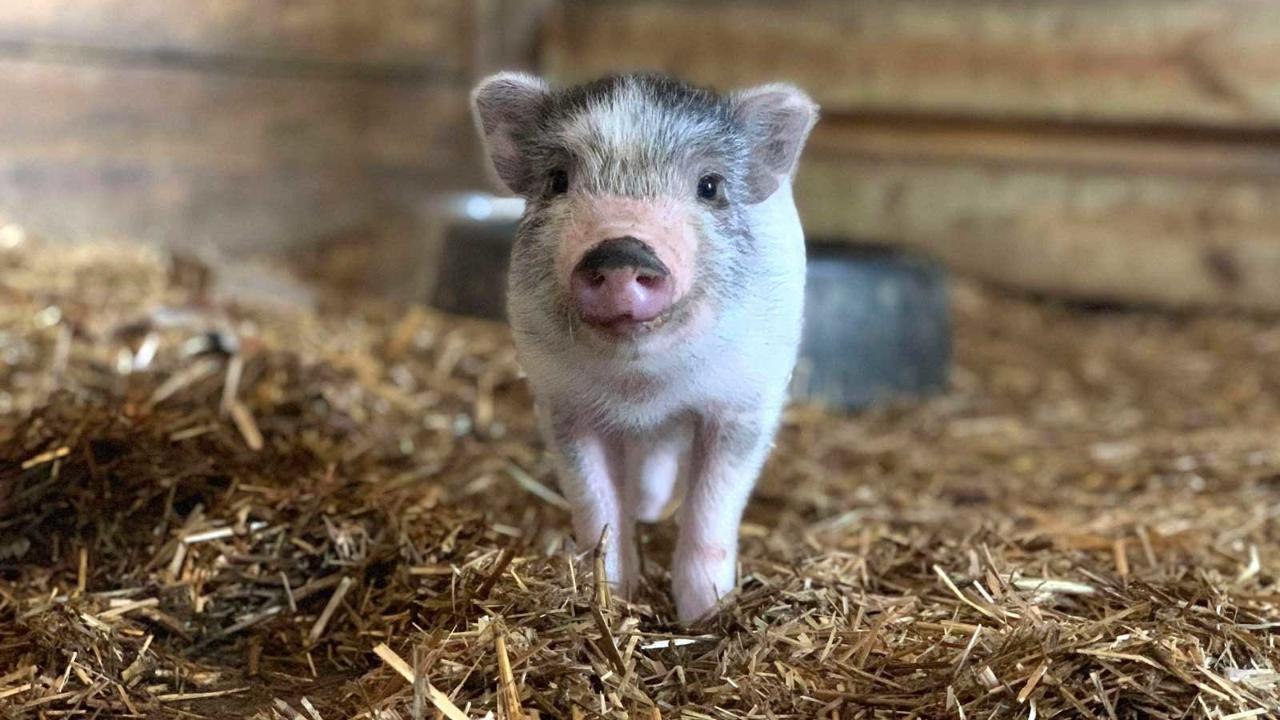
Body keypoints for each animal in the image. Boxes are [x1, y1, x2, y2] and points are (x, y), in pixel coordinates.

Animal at [470, 72, 818, 622]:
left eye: (710, 185)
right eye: (558, 180)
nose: (620, 249)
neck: (643, 388)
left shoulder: (744, 405)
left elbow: (711, 511)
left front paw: (705, 616)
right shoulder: (563, 406)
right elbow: (596, 507)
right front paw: (613, 600)